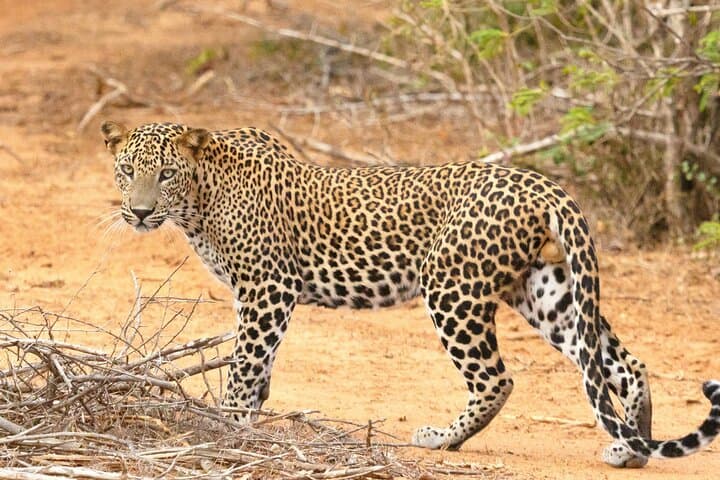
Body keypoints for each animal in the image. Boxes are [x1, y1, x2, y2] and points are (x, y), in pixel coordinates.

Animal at [101, 120, 720, 468]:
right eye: (127, 169)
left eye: (164, 175)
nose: (139, 212)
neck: (199, 199)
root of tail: (541, 183)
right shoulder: (259, 294)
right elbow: (259, 366)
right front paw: (248, 419)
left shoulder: (267, 287)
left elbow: (245, 362)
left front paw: (225, 426)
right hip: (546, 292)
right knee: (622, 362)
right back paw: (630, 448)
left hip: (451, 286)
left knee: (497, 379)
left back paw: (442, 440)